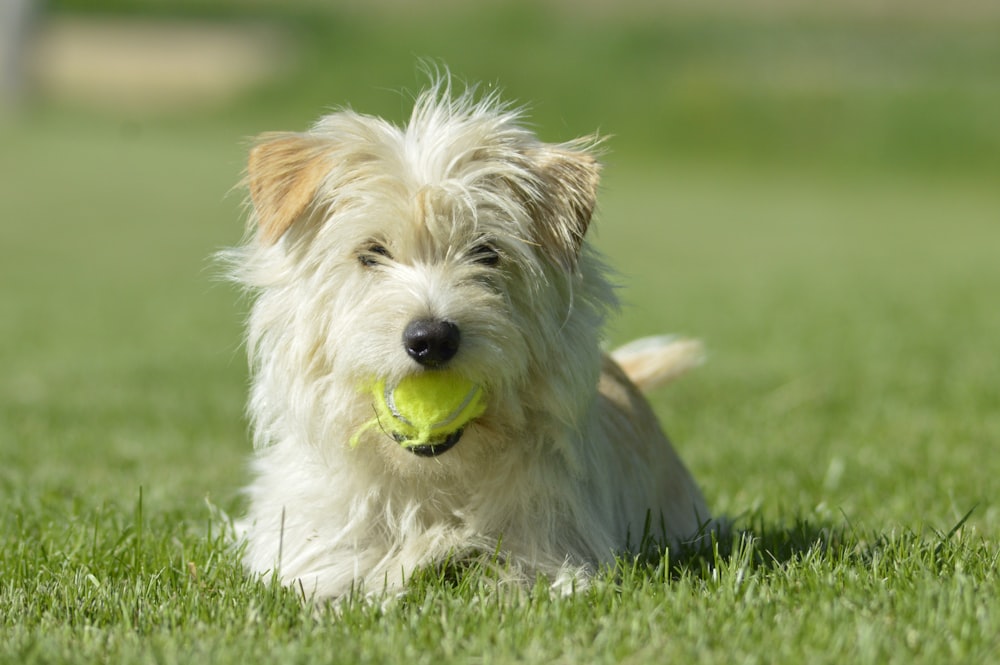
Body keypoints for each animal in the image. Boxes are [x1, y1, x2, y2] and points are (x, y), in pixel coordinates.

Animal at [225, 76, 712, 596]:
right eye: (371, 252)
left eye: (486, 252)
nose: (431, 339)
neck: (432, 476)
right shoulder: (316, 547)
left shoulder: (546, 549)